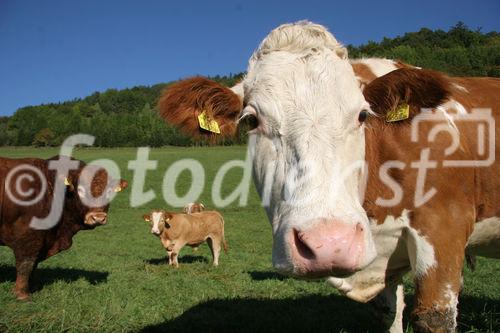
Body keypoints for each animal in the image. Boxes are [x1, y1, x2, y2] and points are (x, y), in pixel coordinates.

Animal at [0, 155, 128, 298]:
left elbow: (33, 265)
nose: (98, 217)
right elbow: (26, 264)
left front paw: (32, 287)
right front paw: (22, 294)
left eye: (109, 192)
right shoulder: (28, 237)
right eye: (80, 190)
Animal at [157, 22, 500, 330]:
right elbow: (390, 314)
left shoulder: (444, 228)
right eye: (252, 120)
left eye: (362, 115)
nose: (330, 243)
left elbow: (434, 317)